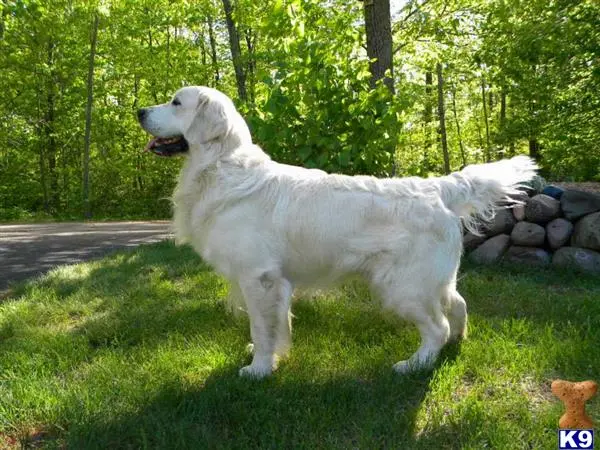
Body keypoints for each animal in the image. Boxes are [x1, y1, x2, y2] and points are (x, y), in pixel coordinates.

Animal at [137, 86, 540, 378]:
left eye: (176, 102)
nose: (138, 111)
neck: (220, 166)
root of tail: (435, 187)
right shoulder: (277, 281)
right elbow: (277, 326)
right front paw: (273, 356)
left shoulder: (259, 278)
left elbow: (262, 328)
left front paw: (259, 369)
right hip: (434, 280)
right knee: (458, 305)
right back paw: (457, 342)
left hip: (402, 285)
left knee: (436, 326)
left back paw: (415, 364)